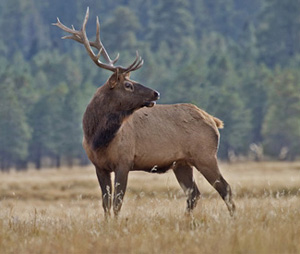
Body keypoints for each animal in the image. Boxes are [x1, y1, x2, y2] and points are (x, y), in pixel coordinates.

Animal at [54, 8, 237, 218]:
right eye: (128, 85)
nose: (156, 93)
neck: (97, 138)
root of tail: (214, 121)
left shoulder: (124, 161)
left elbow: (117, 203)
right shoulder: (99, 166)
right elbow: (105, 203)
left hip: (205, 155)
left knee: (225, 189)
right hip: (182, 163)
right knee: (194, 194)